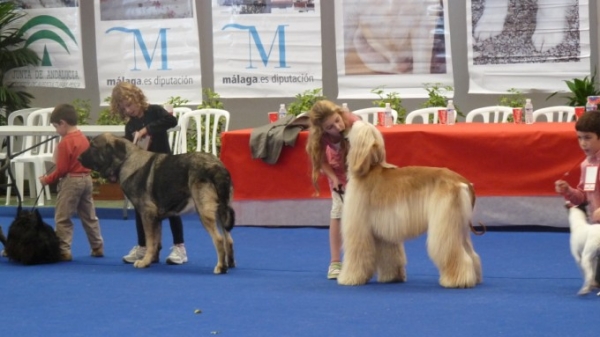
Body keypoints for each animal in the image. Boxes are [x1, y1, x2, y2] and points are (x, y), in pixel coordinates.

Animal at [81, 133, 236, 272]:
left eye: (93, 146)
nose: (78, 157)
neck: (126, 160)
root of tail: (217, 167)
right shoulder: (156, 218)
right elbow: (155, 242)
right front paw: (151, 259)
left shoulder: (147, 214)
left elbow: (150, 241)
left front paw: (144, 262)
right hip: (221, 211)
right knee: (228, 239)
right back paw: (230, 264)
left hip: (204, 211)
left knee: (219, 239)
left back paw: (221, 267)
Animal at [338, 122, 482, 288]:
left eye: (351, 127)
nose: (341, 131)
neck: (368, 170)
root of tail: (463, 182)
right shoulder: (384, 230)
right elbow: (390, 255)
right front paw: (392, 277)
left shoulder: (359, 227)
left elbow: (357, 254)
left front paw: (350, 277)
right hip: (460, 225)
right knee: (471, 254)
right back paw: (475, 278)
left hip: (446, 223)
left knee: (457, 254)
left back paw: (457, 280)